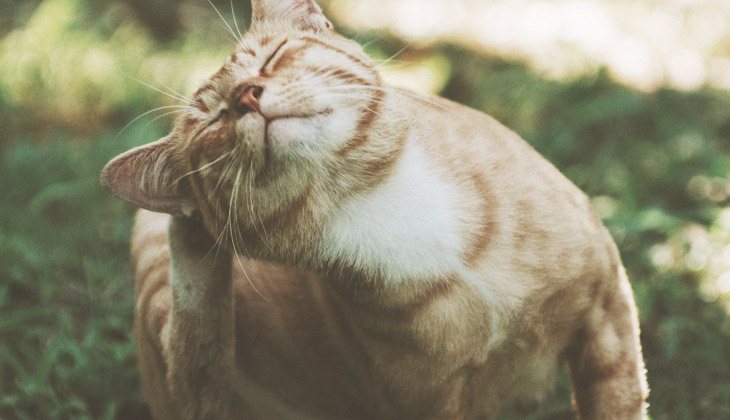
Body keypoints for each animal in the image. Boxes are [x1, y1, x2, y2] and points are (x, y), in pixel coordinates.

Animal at [101, 1, 648, 418]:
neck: (375, 199)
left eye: (273, 57)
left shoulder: (607, 313)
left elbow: (620, 404)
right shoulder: (435, 407)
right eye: (213, 125)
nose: (246, 97)